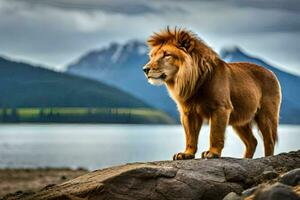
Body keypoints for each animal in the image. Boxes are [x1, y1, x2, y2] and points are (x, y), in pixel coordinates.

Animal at [143, 27, 282, 160]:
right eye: (152, 56)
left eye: (166, 55)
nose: (145, 69)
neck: (191, 82)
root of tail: (271, 72)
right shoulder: (188, 112)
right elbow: (190, 136)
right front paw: (186, 154)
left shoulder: (221, 108)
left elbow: (215, 133)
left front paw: (212, 153)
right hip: (239, 119)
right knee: (252, 142)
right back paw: (246, 160)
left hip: (266, 115)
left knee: (269, 141)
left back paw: (268, 158)